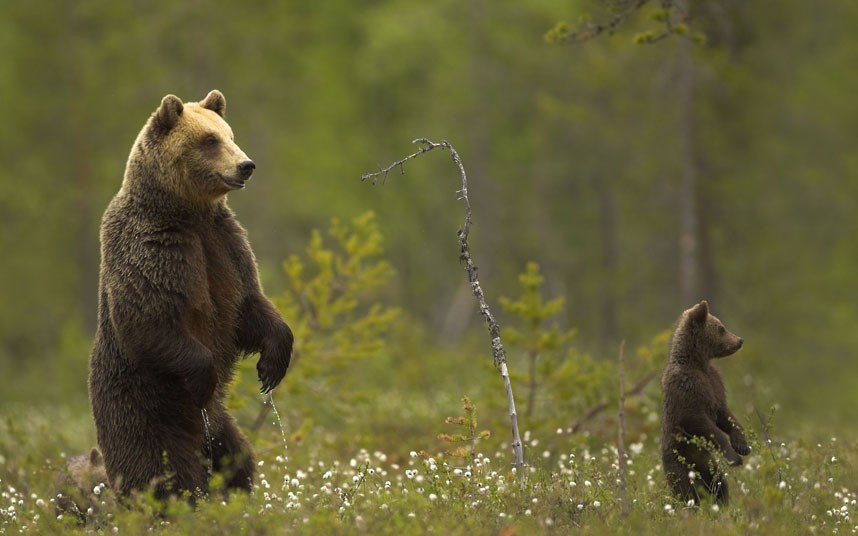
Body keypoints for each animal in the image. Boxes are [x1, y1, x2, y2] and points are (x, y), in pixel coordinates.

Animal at [88, 90, 292, 500]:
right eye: (209, 140)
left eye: (229, 134)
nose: (246, 165)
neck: (187, 212)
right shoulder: (154, 248)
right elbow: (148, 317)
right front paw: (203, 378)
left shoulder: (225, 244)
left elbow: (248, 305)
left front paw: (272, 365)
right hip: (143, 411)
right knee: (162, 474)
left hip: (220, 427)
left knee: (238, 460)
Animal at [660, 300, 744, 504]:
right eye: (721, 328)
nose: (740, 340)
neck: (698, 362)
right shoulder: (686, 388)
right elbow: (699, 420)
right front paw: (734, 457)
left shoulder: (714, 383)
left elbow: (724, 413)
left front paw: (742, 445)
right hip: (681, 462)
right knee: (687, 490)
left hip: (708, 466)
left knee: (719, 484)